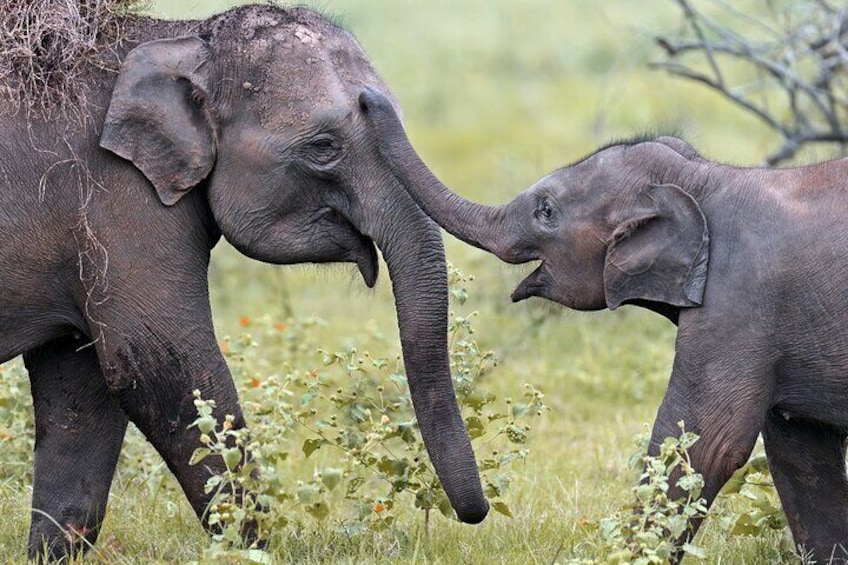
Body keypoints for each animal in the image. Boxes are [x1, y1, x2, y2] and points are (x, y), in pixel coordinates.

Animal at [1, 7, 490, 560]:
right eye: (324, 147)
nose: (474, 515)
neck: (181, 39)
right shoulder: (117, 203)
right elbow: (156, 367)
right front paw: (252, 550)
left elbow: (81, 387)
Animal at [362, 86, 848, 560]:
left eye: (546, 211)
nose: (368, 98)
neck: (702, 179)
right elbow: (800, 454)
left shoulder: (737, 306)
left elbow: (706, 443)